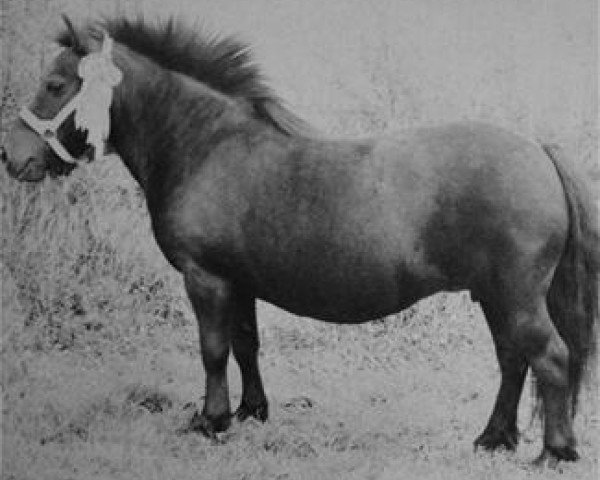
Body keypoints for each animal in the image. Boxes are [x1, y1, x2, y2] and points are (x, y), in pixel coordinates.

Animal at [2, 15, 596, 464]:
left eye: (56, 85)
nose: (13, 156)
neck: (209, 146)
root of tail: (539, 151)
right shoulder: (236, 282)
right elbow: (245, 344)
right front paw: (251, 412)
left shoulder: (205, 277)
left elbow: (213, 349)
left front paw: (210, 421)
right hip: (494, 296)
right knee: (513, 360)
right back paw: (493, 439)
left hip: (515, 296)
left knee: (550, 357)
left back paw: (553, 453)